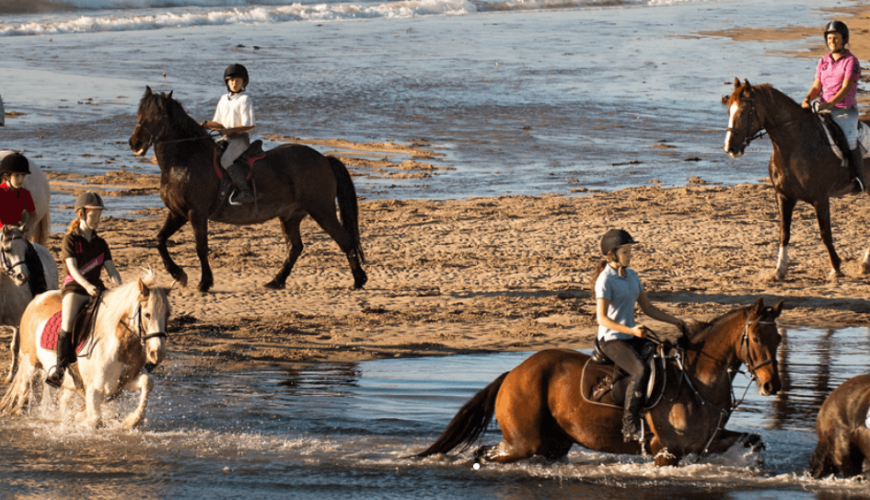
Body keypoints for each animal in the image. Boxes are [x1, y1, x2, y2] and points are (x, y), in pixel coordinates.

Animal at [0, 225, 58, 384]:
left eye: (25, 251)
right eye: (7, 249)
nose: (22, 276)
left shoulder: (18, 322)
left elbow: (14, 347)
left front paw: (11, 375)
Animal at [0, 270, 172, 430]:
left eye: (167, 315)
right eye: (147, 314)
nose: (158, 354)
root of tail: (37, 299)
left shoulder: (122, 383)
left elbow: (148, 383)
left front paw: (133, 420)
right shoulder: (94, 389)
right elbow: (95, 420)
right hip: (30, 365)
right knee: (22, 395)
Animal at [125, 87, 364, 292]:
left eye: (159, 117)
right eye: (139, 113)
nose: (135, 143)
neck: (185, 160)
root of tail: (324, 159)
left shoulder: (197, 213)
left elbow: (201, 248)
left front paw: (204, 283)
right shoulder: (178, 213)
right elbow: (159, 240)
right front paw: (179, 275)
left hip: (322, 210)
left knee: (344, 240)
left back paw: (359, 280)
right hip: (290, 216)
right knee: (295, 248)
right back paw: (276, 281)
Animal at [418, 298, 788, 466]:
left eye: (779, 338)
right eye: (756, 338)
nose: (772, 386)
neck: (697, 384)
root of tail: (514, 373)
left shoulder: (706, 443)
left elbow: (755, 442)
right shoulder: (665, 452)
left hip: (554, 443)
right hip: (525, 442)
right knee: (485, 453)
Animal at [724, 78, 870, 282]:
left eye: (745, 112)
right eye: (729, 110)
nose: (730, 148)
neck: (795, 145)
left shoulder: (820, 198)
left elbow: (825, 233)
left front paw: (836, 268)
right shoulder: (784, 197)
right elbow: (783, 233)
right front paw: (779, 270)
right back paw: (865, 264)